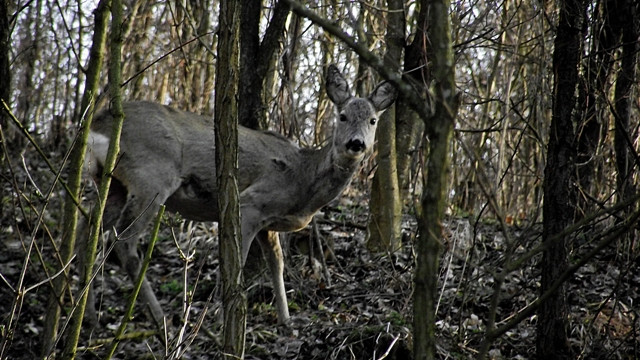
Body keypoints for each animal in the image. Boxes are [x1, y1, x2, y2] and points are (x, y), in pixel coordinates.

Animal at [82, 64, 398, 326]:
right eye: (342, 116)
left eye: (372, 120)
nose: (356, 143)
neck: (303, 180)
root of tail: (100, 124)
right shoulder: (251, 202)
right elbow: (238, 261)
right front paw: (223, 316)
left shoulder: (269, 223)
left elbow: (277, 265)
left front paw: (286, 320)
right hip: (152, 177)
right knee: (123, 242)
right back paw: (160, 319)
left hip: (113, 184)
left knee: (87, 232)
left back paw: (89, 317)